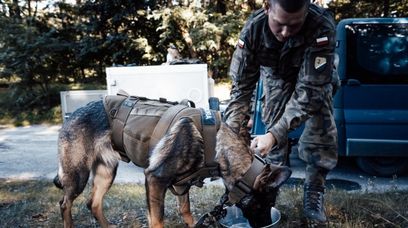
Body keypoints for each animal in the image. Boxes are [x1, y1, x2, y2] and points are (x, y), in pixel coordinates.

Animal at [54, 91, 292, 228]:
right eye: (266, 204)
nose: (268, 225)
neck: (215, 146)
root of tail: (70, 116)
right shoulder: (154, 180)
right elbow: (158, 221)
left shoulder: (180, 185)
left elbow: (185, 211)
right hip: (78, 175)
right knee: (65, 203)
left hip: (107, 172)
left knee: (92, 202)